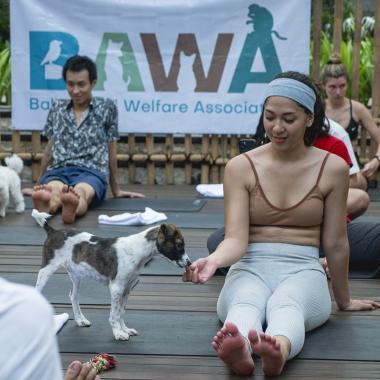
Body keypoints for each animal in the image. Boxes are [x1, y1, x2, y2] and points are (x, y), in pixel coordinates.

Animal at [31, 209, 193, 340]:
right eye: (179, 244)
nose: (189, 262)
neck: (138, 250)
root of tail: (53, 231)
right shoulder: (116, 287)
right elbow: (114, 314)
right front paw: (118, 333)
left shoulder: (127, 288)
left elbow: (121, 312)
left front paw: (125, 329)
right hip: (46, 269)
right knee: (37, 292)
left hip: (75, 276)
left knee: (73, 296)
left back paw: (80, 320)